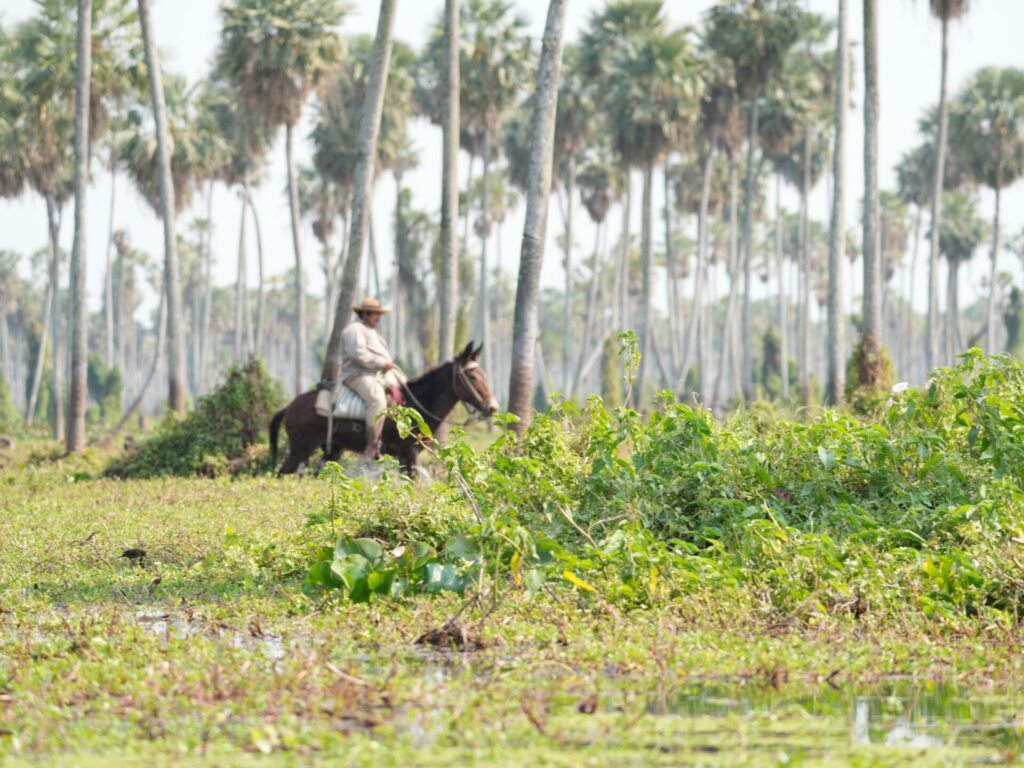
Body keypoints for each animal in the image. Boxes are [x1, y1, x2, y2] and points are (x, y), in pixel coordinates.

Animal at [270, 344, 497, 475]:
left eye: (485, 375)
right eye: (472, 376)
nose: (492, 407)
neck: (418, 403)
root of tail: (289, 407)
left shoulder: (404, 458)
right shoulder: (410, 454)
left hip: (332, 450)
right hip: (301, 448)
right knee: (283, 472)